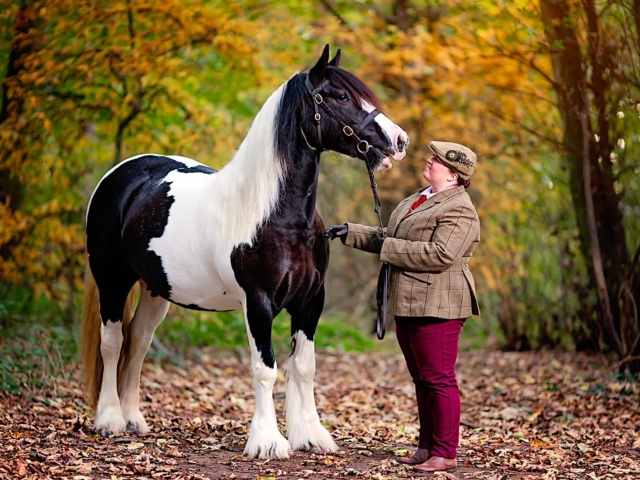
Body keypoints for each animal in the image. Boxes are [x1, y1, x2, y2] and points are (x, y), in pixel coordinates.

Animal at [80, 46, 408, 462]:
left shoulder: (310, 301)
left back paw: (134, 418)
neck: (276, 216)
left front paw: (311, 435)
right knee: (113, 342)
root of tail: (121, 175)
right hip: (112, 279)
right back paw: (110, 420)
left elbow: (304, 367)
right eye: (339, 96)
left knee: (137, 343)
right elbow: (265, 369)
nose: (399, 140)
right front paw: (267, 441)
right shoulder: (259, 302)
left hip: (156, 290)